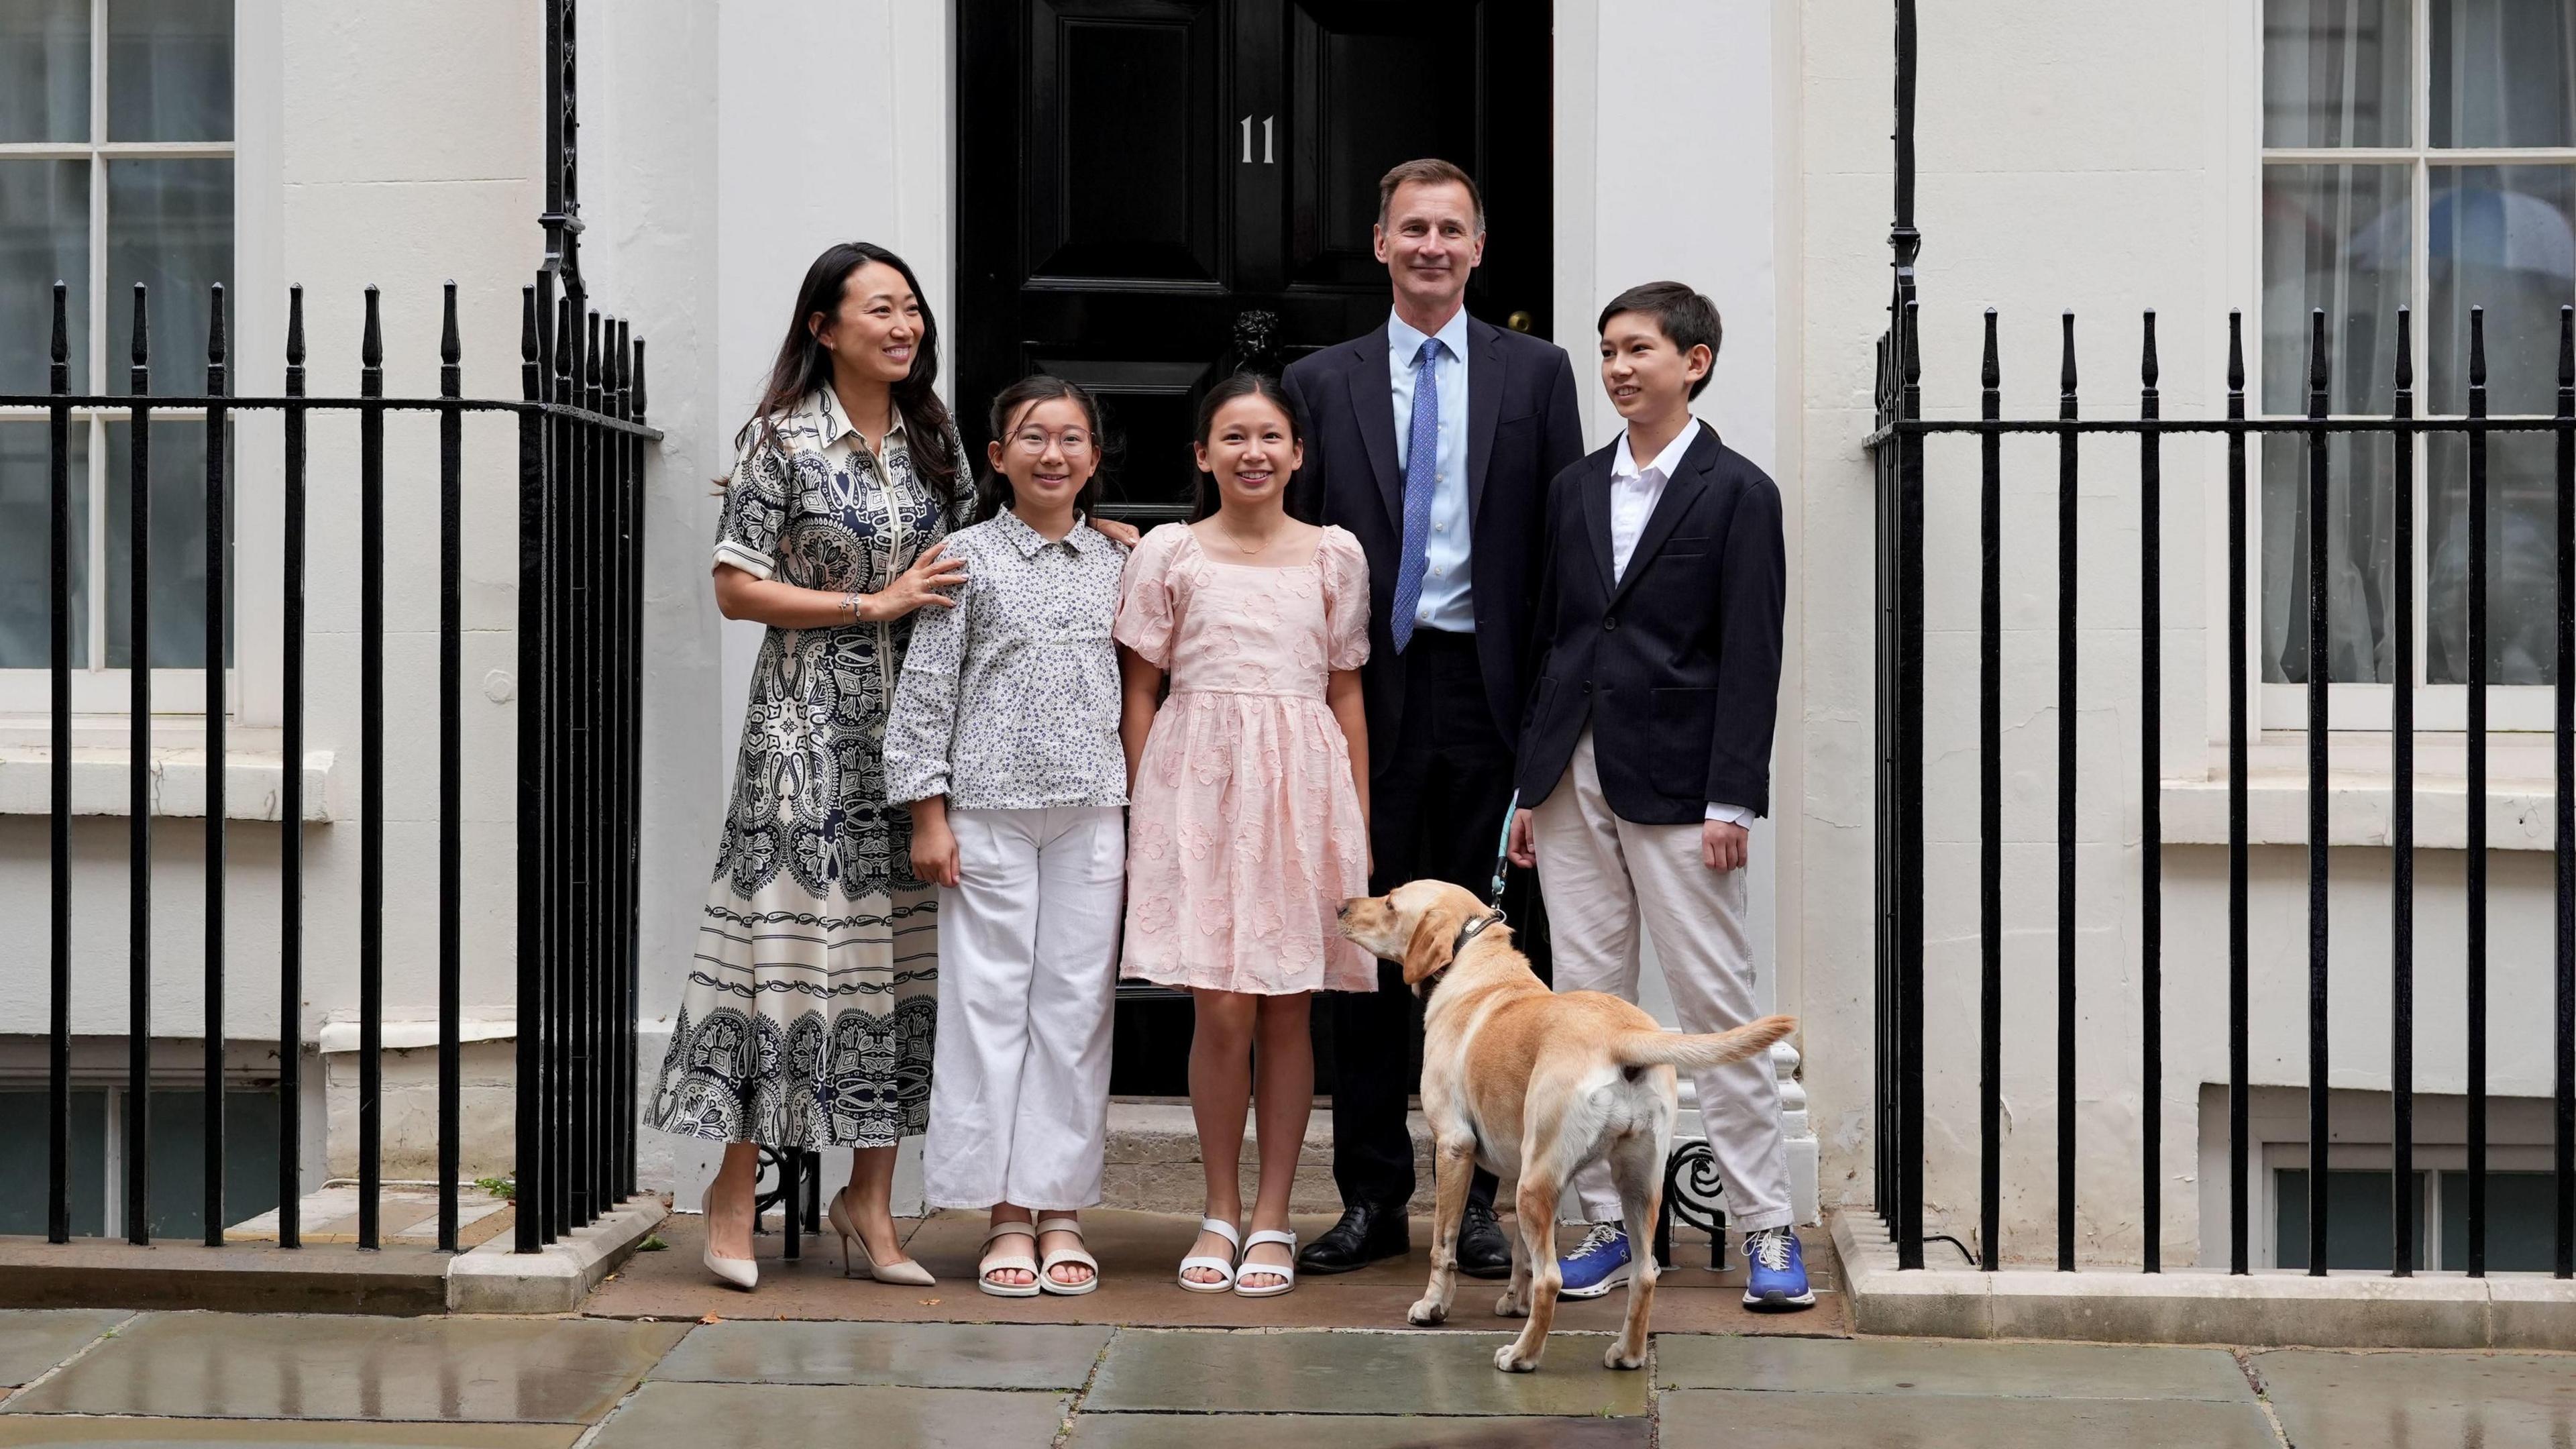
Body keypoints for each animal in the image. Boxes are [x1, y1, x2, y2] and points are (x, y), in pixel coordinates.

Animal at [1329, 876, 1792, 1371]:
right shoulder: (1521, 1170)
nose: (1340, 907)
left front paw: (1433, 1307)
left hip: (1537, 1185)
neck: (1474, 960)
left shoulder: (1454, 1147)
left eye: (1391, 904)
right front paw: (1514, 1301)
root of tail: (1622, 1036)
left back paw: (1521, 1356)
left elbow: (1444, 1244)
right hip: (1632, 1184)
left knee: (1551, 1278)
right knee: (1643, 1275)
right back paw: (1627, 1354)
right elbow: (1519, 1252)